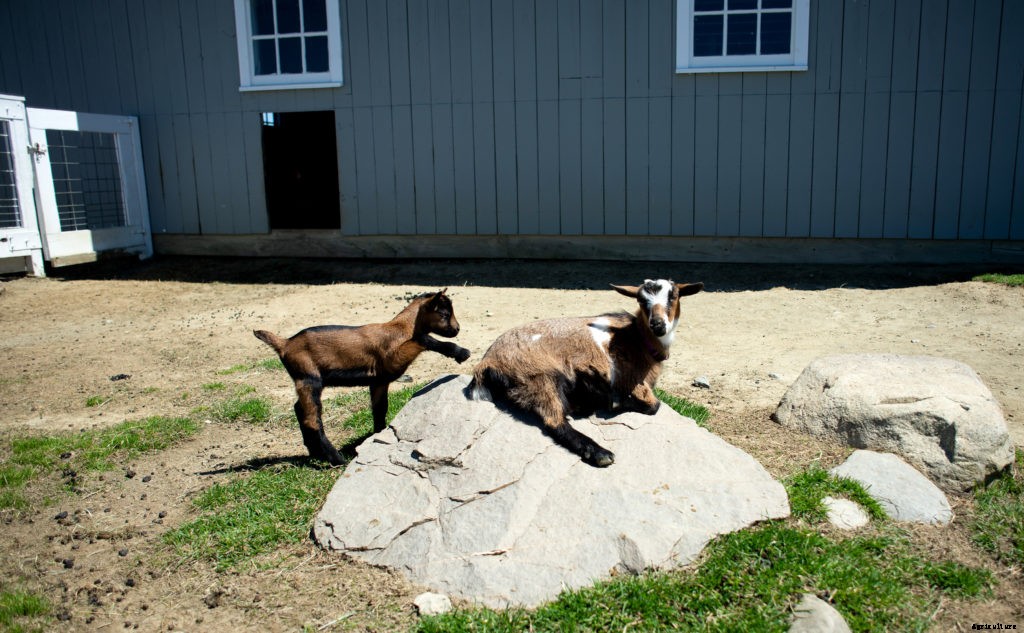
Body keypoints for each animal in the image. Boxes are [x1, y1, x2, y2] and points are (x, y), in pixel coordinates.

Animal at [253, 289, 471, 465]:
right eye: (444, 314)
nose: (457, 329)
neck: (400, 328)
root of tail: (285, 344)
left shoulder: (379, 381)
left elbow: (379, 409)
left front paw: (378, 436)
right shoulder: (393, 357)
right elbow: (424, 339)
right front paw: (461, 352)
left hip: (305, 380)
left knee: (299, 409)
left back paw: (315, 453)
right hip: (309, 377)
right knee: (311, 419)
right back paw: (336, 459)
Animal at [469, 279, 703, 467]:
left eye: (673, 296)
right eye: (641, 300)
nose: (658, 324)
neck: (636, 337)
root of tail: (486, 363)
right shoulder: (631, 379)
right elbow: (654, 405)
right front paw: (617, 401)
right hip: (538, 376)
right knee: (554, 420)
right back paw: (600, 452)